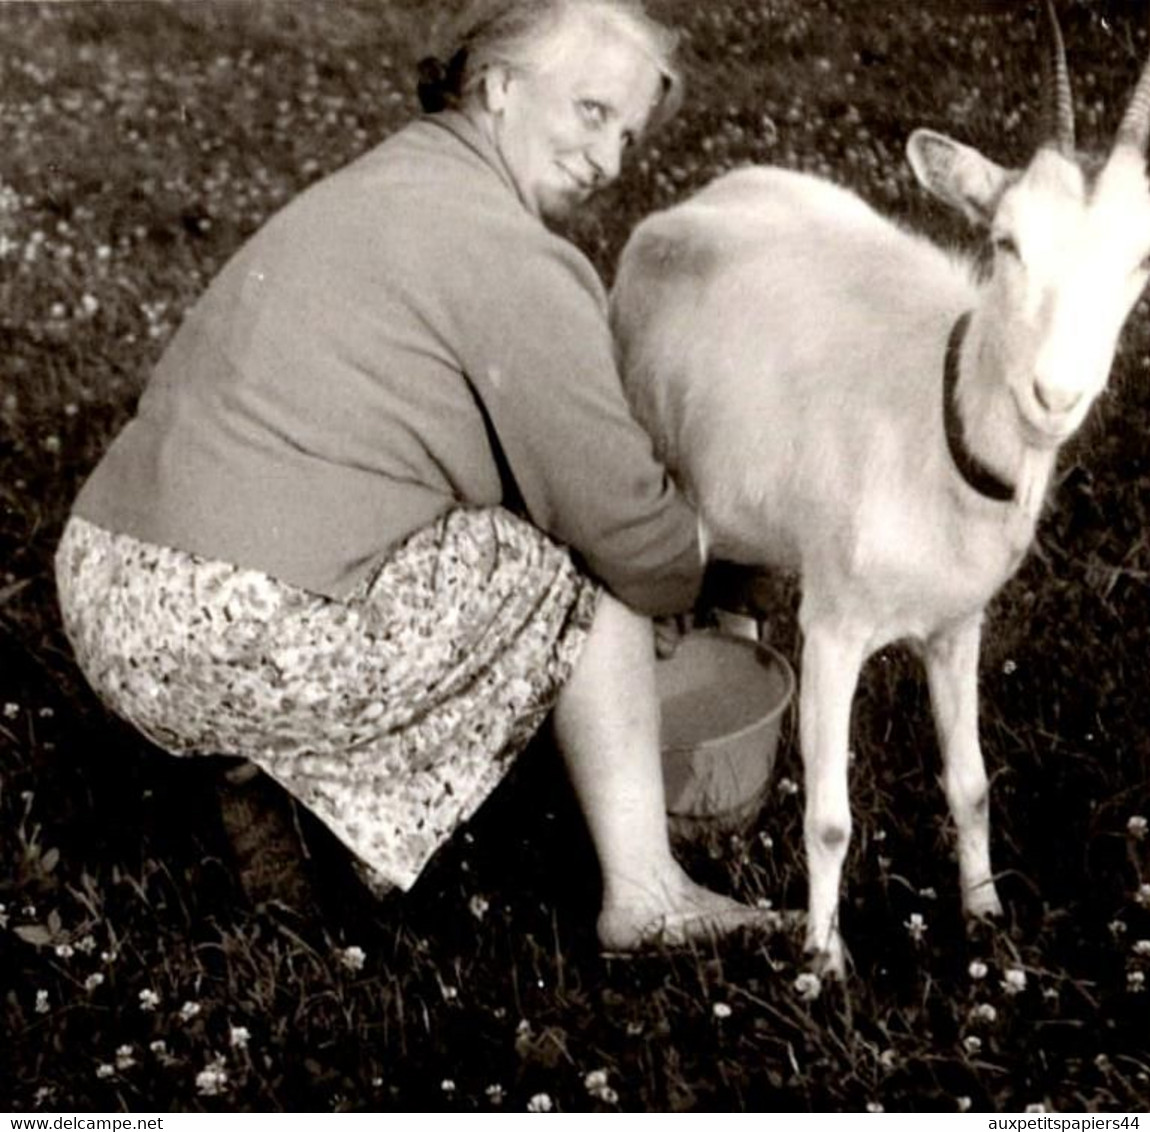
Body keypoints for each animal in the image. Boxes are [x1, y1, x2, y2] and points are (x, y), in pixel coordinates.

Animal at [616, 4, 1150, 975]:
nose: (1053, 396)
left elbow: (971, 783)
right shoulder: (834, 626)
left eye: (1140, 262)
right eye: (1007, 241)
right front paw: (823, 964)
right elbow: (830, 819)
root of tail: (689, 204)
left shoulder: (958, 624)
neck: (935, 427)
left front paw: (985, 916)